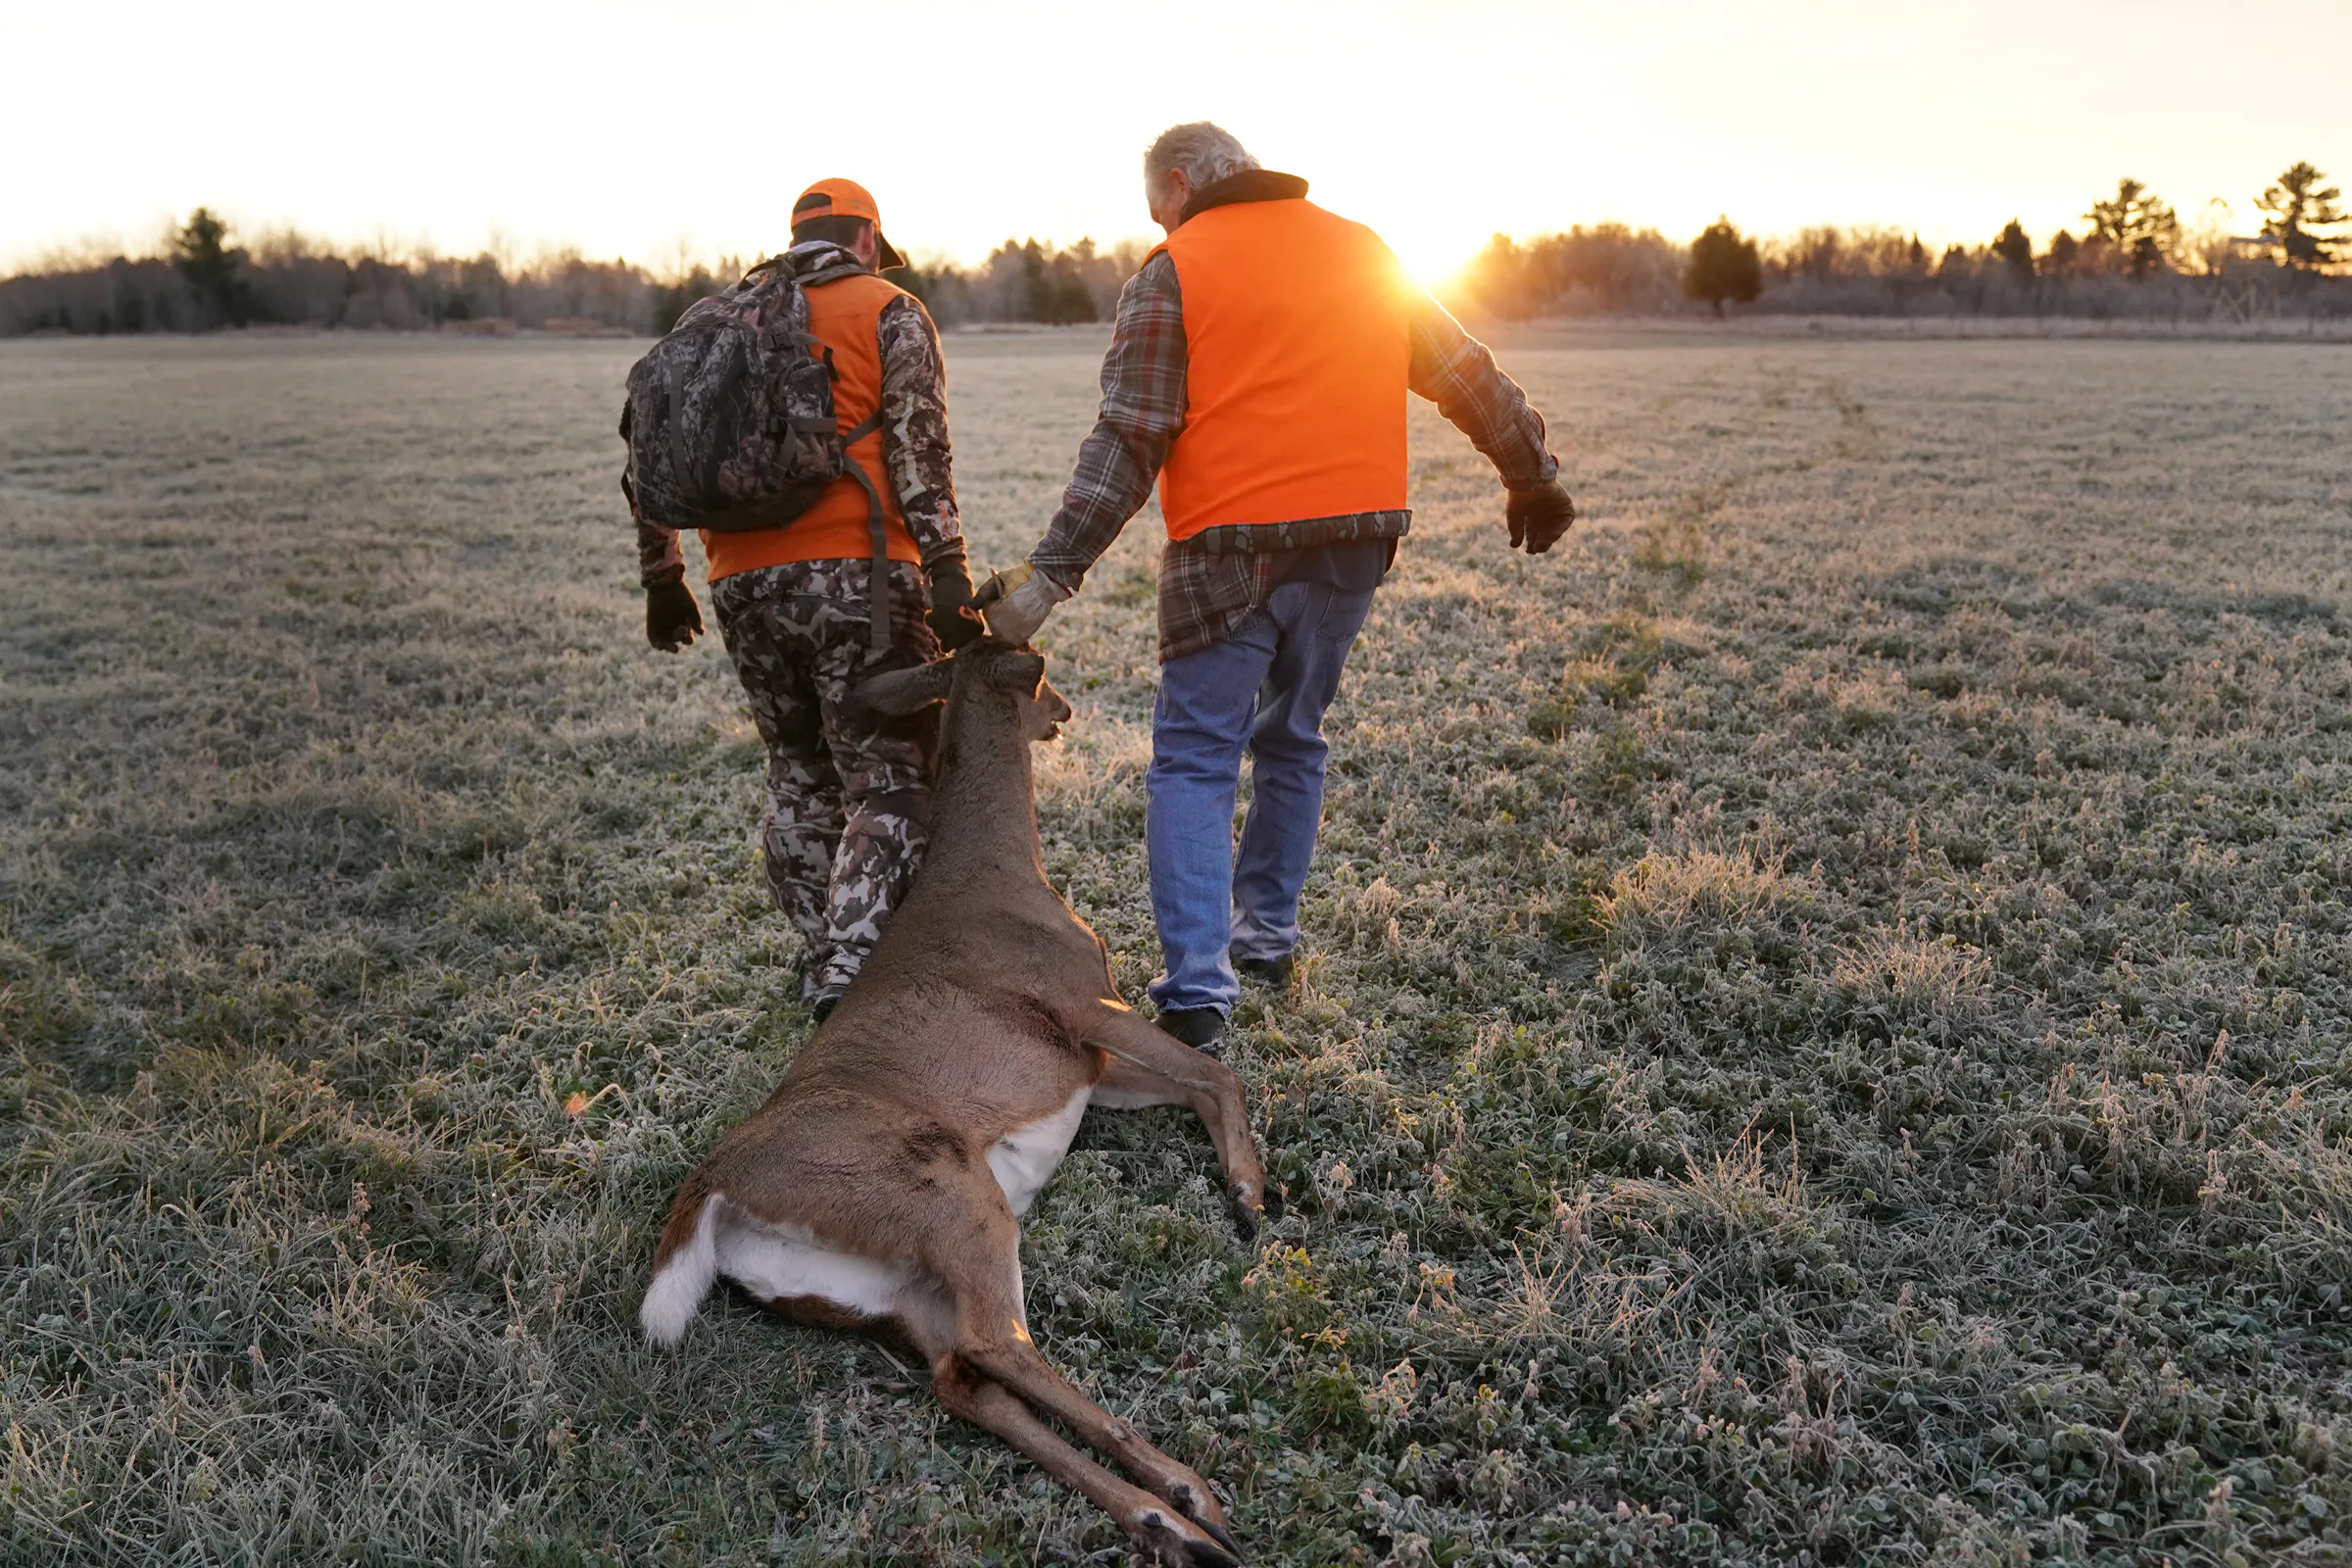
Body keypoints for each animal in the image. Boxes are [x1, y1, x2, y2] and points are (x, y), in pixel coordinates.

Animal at [641, 636, 1277, 1567]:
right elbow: (1217, 1072)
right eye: (1035, 665)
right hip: (945, 1192)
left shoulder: (1087, 1062)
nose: (1065, 710)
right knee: (996, 1342)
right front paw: (1249, 1197)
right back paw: (1188, 1494)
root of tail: (711, 1190)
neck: (998, 870)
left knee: (962, 1383)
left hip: (890, 1289)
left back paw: (1171, 1526)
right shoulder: (1083, 1001)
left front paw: (1241, 1188)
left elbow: (1193, 1083)